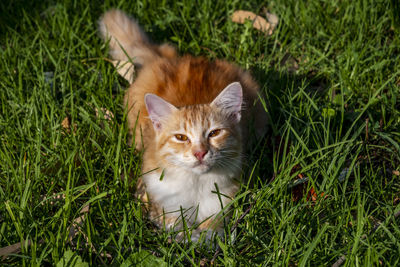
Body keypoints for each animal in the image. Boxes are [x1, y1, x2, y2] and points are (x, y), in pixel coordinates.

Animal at [98, 8, 268, 243]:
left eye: (214, 133)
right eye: (181, 137)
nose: (200, 153)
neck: (196, 185)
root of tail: (170, 58)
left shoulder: (225, 198)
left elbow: (213, 229)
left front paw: (205, 237)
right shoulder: (159, 198)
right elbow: (174, 226)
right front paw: (186, 237)